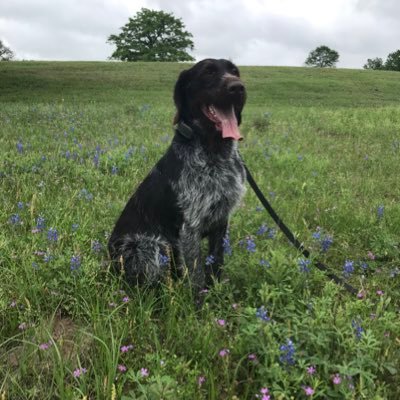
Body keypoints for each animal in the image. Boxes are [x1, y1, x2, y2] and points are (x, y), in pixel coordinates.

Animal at [109, 58, 247, 290]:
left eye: (235, 71)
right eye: (208, 72)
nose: (237, 87)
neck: (214, 152)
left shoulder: (221, 219)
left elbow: (216, 262)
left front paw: (217, 291)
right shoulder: (189, 227)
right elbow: (196, 275)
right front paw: (201, 300)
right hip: (149, 247)